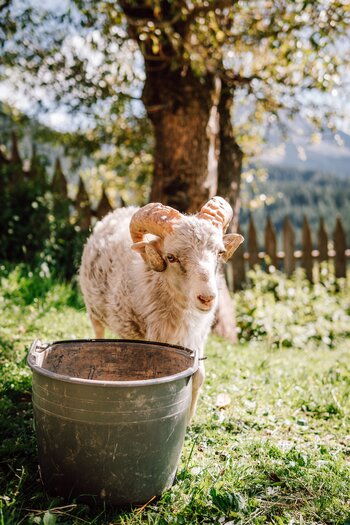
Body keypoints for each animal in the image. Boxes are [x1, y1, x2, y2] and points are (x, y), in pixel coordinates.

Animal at [79, 195, 243, 418]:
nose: (207, 298)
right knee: (98, 332)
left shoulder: (197, 336)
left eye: (220, 252)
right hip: (94, 311)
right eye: (171, 257)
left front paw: (189, 419)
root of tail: (117, 212)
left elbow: (199, 375)